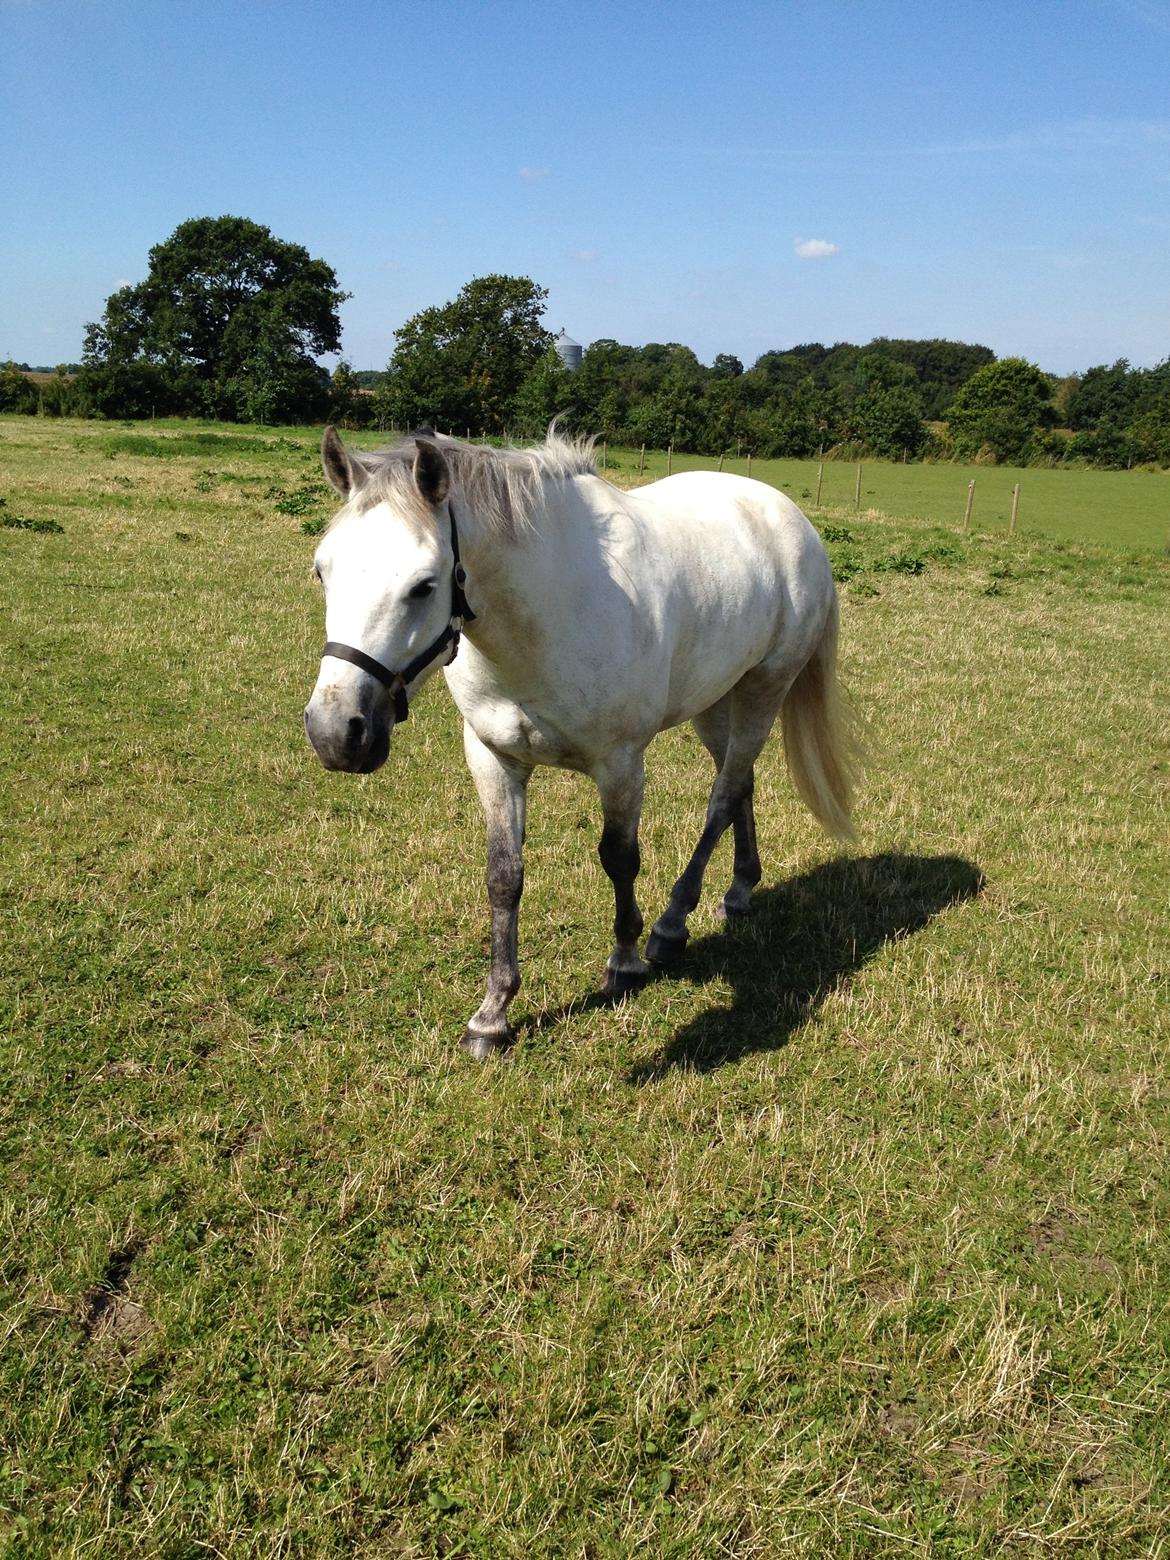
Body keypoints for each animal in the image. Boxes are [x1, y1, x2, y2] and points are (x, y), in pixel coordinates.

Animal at [307, 427, 854, 1060]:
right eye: (322, 572)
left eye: (424, 586)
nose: (335, 732)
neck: (547, 618)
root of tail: (789, 516)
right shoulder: (494, 759)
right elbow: (504, 875)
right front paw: (493, 1014)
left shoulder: (620, 764)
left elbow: (619, 859)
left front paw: (624, 964)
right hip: (718, 700)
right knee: (740, 782)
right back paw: (739, 889)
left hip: (766, 688)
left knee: (722, 797)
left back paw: (671, 926)